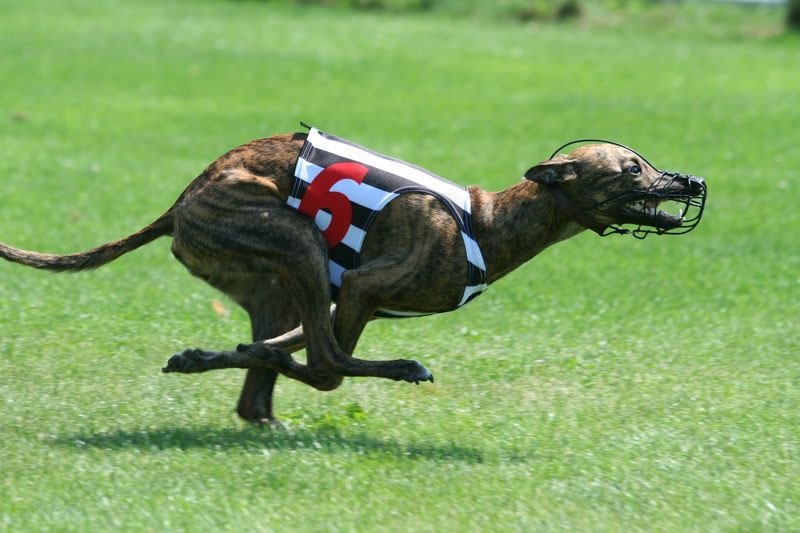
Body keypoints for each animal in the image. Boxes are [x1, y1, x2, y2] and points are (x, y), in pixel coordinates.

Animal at [0, 132, 704, 424]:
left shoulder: (349, 302)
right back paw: (397, 368)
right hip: (297, 245)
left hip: (277, 284)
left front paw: (206, 356)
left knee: (271, 372)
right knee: (326, 366)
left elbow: (283, 351)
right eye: (634, 170)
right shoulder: (364, 290)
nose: (693, 181)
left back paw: (240, 384)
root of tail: (181, 202)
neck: (487, 223)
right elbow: (326, 361)